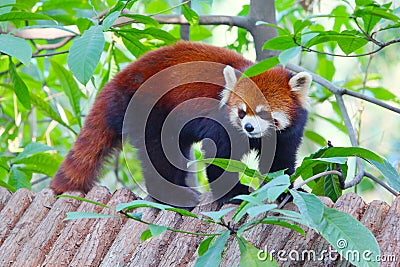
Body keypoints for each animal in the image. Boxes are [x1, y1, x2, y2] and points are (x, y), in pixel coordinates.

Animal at [50, 40, 310, 208]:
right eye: (241, 112)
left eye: (264, 113)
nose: (249, 128)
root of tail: (120, 79)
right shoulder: (221, 125)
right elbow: (218, 158)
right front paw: (234, 194)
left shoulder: (287, 134)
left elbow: (281, 161)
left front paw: (286, 191)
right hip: (152, 112)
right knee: (158, 155)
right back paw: (175, 195)